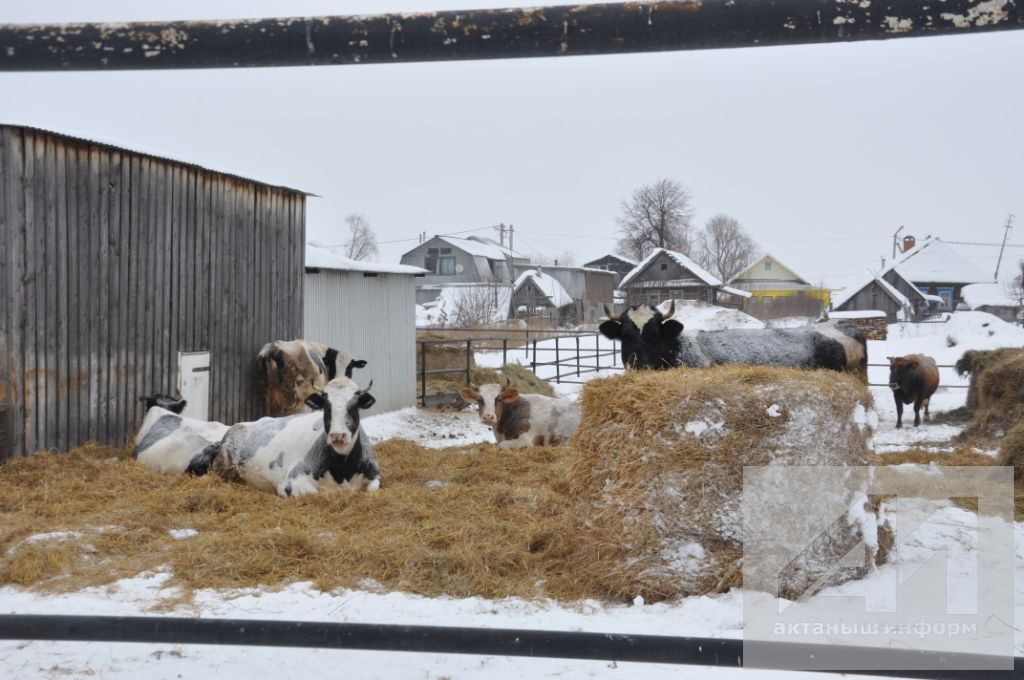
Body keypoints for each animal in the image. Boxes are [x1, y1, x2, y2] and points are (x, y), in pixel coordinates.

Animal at [212, 374, 380, 497]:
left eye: (354, 407)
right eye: (326, 406)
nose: (338, 435)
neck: (343, 470)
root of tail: (239, 425)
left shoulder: (375, 475)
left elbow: (373, 488)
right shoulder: (291, 480)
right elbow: (314, 493)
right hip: (223, 464)